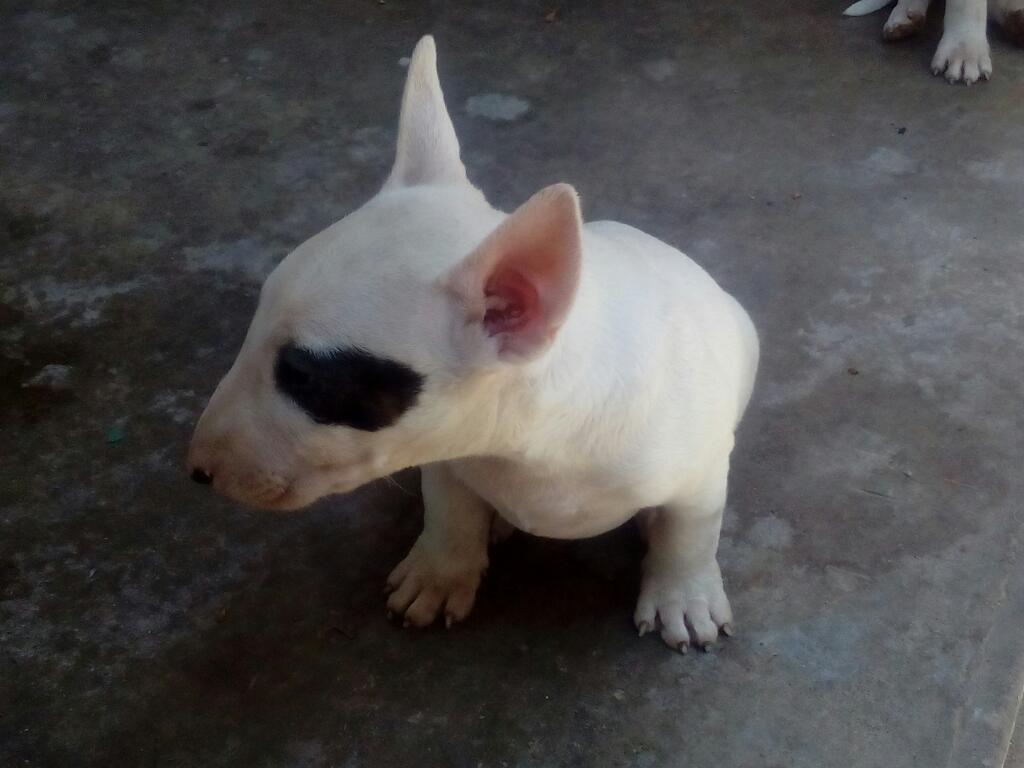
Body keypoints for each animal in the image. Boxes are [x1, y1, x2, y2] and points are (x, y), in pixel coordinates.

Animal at [186, 33, 761, 651]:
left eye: (304, 377)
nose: (197, 470)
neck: (525, 438)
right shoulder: (443, 452)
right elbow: (449, 507)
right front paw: (439, 573)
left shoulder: (701, 470)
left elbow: (692, 528)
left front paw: (685, 594)